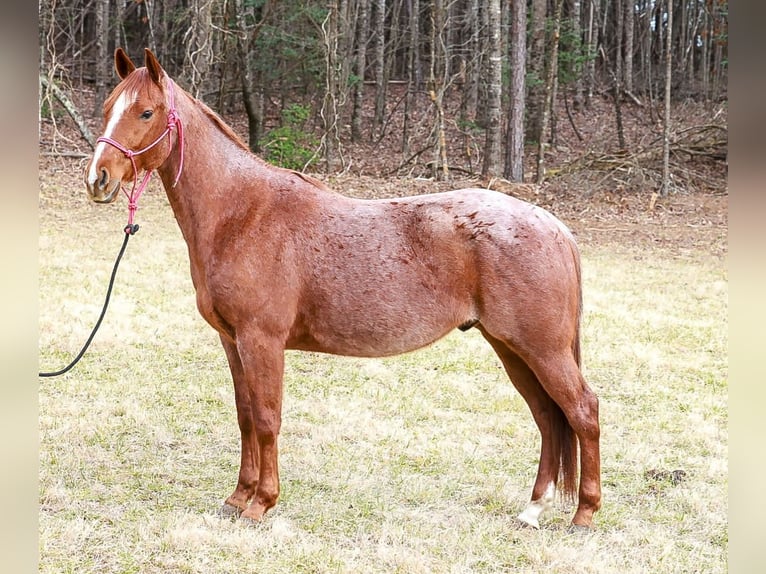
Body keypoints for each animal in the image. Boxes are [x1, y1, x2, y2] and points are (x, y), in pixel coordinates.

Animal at [85, 48, 601, 530]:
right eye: (108, 106)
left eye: (146, 112)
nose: (98, 179)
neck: (242, 214)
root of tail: (555, 226)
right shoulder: (233, 341)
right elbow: (246, 416)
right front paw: (237, 498)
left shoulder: (261, 340)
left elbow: (268, 419)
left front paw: (261, 504)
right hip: (512, 348)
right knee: (547, 417)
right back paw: (533, 509)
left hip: (542, 349)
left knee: (582, 410)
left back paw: (584, 514)